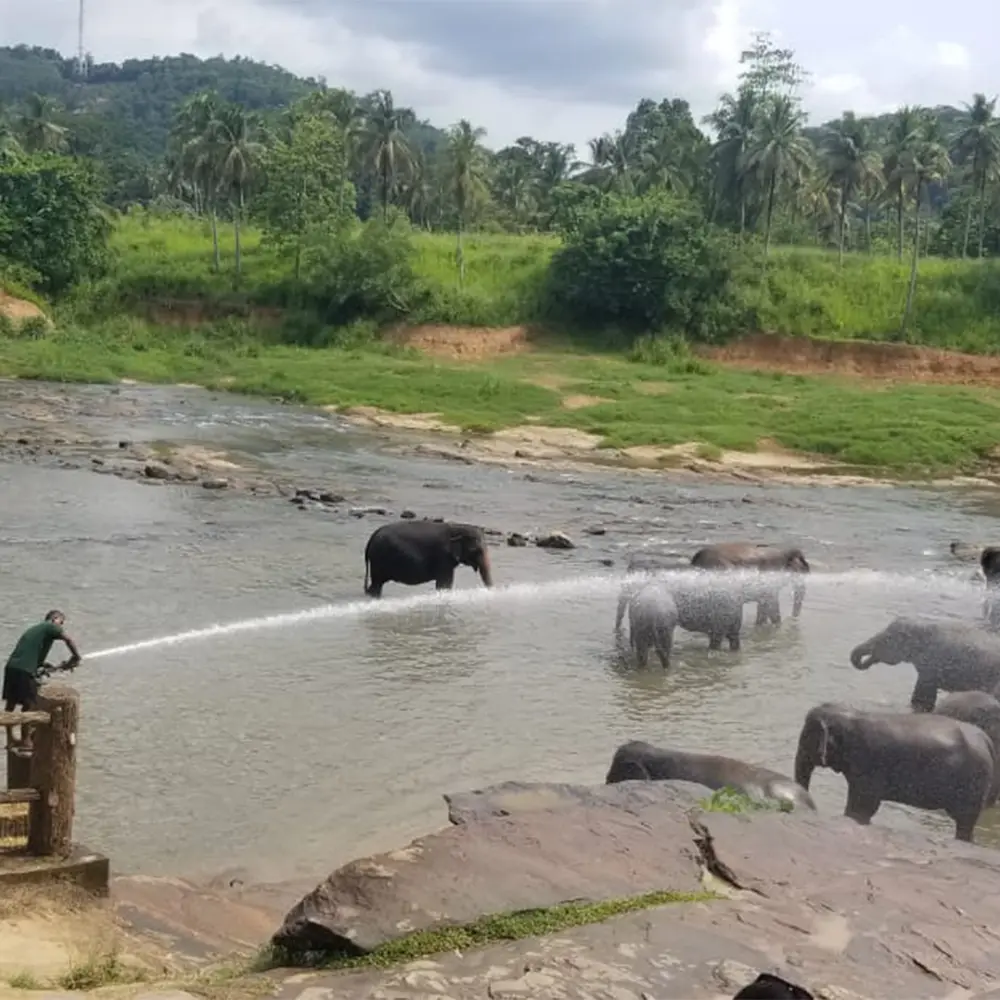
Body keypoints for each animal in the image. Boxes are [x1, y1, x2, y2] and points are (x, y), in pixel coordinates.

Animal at [366, 520, 494, 596]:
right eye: (476, 550)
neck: (456, 527)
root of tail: (371, 538)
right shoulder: (443, 557)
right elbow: (444, 584)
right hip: (378, 560)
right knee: (376, 585)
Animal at [792, 704, 996, 844]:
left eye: (805, 739)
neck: (850, 714)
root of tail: (986, 740)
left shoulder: (869, 762)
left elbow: (863, 805)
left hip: (972, 784)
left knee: (964, 821)